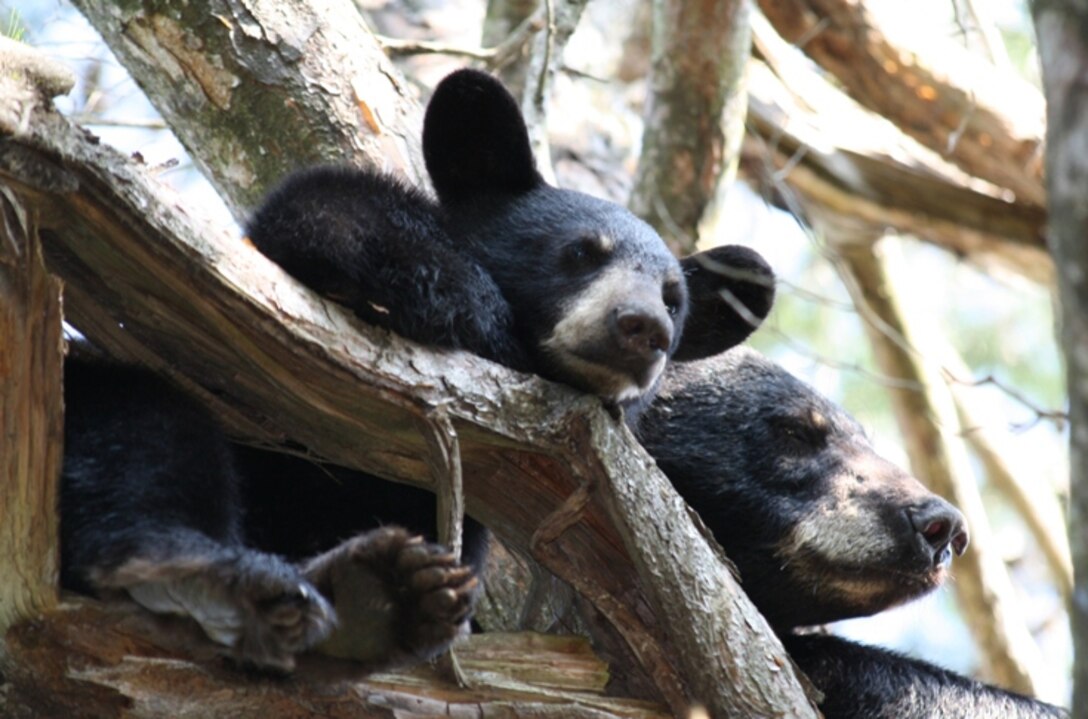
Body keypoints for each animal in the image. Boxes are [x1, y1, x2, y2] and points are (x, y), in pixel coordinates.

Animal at [61, 67, 774, 674]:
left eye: (674, 301)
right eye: (579, 253)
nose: (644, 329)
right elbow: (323, 206)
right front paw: (475, 305)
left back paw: (383, 594)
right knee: (145, 435)